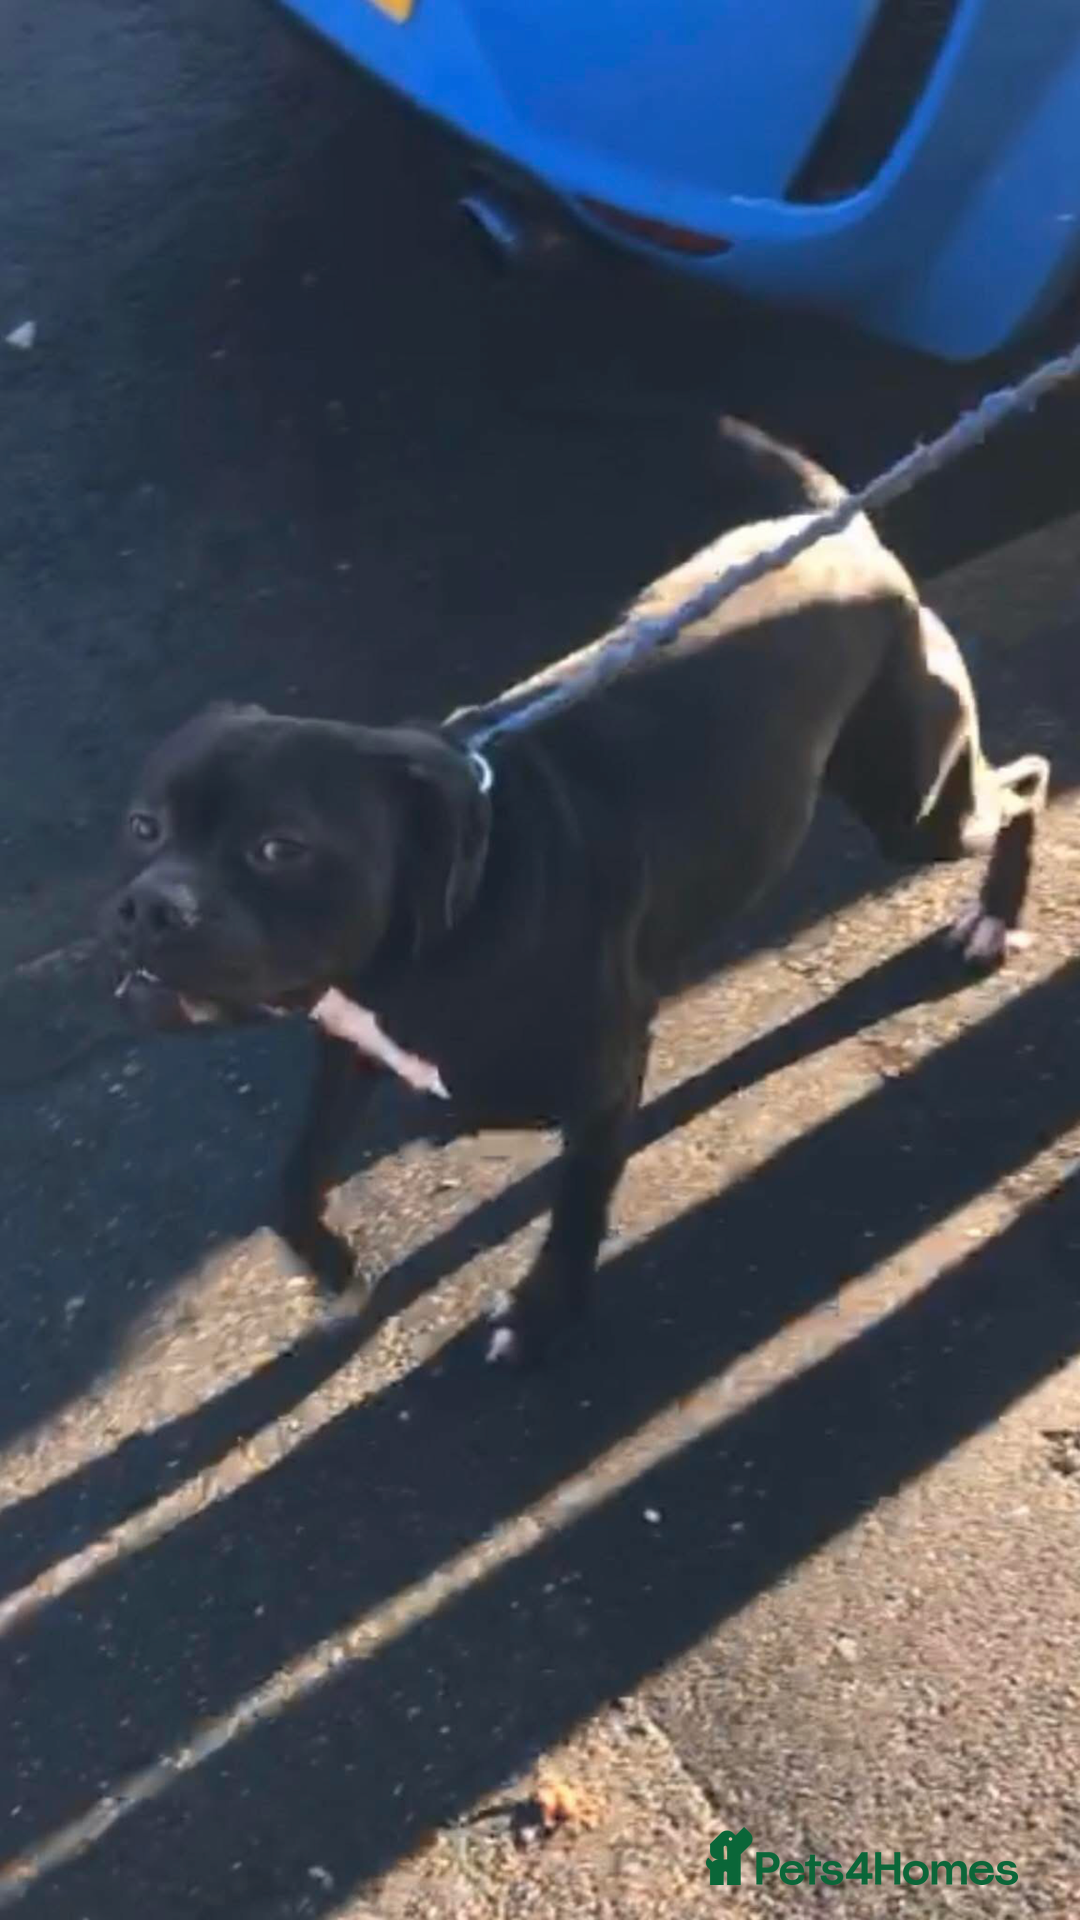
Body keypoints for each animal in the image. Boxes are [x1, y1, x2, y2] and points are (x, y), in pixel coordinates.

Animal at [104, 424, 1048, 1364]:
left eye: (280, 848)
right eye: (143, 827)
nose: (150, 906)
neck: (446, 914)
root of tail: (845, 533)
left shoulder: (601, 1082)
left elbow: (576, 1204)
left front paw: (540, 1309)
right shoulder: (346, 1041)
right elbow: (293, 1179)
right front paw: (336, 1269)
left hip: (916, 805)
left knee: (1027, 785)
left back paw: (992, 919)